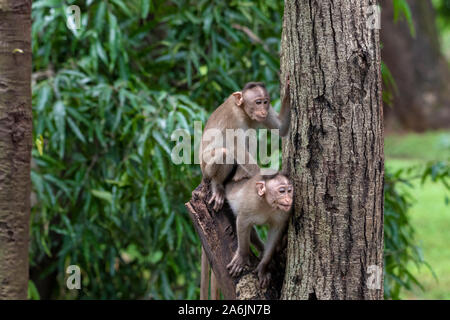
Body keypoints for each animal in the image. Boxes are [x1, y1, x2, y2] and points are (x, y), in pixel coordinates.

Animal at [199, 79, 290, 212]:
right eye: (258, 102)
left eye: (265, 102)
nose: (263, 110)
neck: (243, 112)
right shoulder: (233, 118)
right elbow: (238, 149)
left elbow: (281, 127)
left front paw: (288, 92)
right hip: (205, 168)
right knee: (225, 153)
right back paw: (217, 185)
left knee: (251, 136)